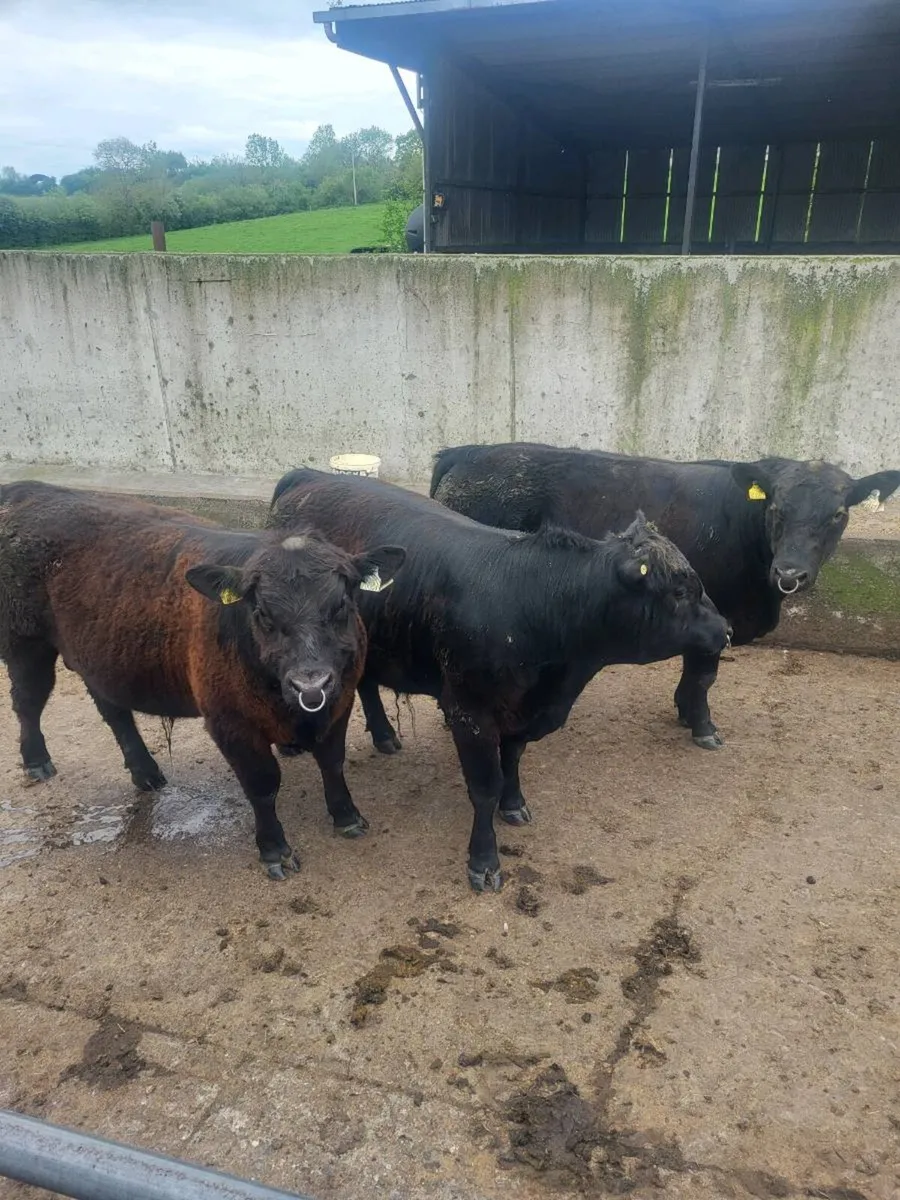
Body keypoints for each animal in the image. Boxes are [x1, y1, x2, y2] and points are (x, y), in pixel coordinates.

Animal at [0, 481, 405, 879]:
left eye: (342, 605)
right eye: (262, 613)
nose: (310, 685)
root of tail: (27, 489)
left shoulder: (340, 700)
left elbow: (332, 761)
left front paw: (347, 816)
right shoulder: (231, 723)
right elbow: (262, 785)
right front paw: (274, 849)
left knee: (114, 712)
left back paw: (146, 772)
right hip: (25, 643)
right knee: (28, 701)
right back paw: (37, 760)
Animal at [268, 468, 729, 892]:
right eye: (679, 592)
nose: (724, 629)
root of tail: (308, 476)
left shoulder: (522, 711)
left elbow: (512, 761)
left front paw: (514, 804)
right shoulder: (470, 713)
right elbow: (485, 786)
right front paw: (484, 860)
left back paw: (384, 735)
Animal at [430, 442, 900, 750]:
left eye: (838, 515)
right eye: (775, 509)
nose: (790, 573)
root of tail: (469, 451)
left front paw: (685, 712)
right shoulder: (716, 614)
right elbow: (703, 675)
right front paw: (703, 727)